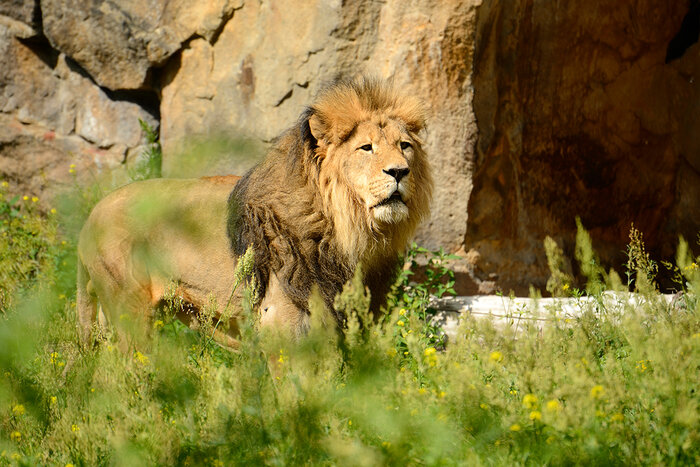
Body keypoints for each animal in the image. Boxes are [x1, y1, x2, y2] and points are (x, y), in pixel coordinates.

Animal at [77, 77, 433, 347]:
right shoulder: (281, 323)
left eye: (404, 146)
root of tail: (90, 216)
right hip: (129, 310)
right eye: (366, 148)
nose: (399, 172)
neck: (348, 229)